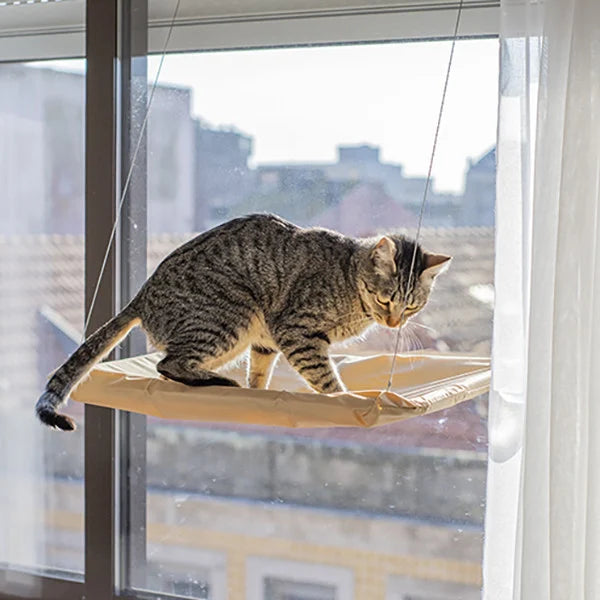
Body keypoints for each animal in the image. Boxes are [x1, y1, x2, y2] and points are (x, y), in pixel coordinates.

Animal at [36, 213, 450, 428]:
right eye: (385, 299)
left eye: (412, 307)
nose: (394, 323)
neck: (349, 281)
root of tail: (140, 296)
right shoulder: (296, 330)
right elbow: (324, 377)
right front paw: (343, 398)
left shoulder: (267, 339)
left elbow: (260, 371)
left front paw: (261, 396)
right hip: (230, 314)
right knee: (168, 363)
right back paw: (217, 380)